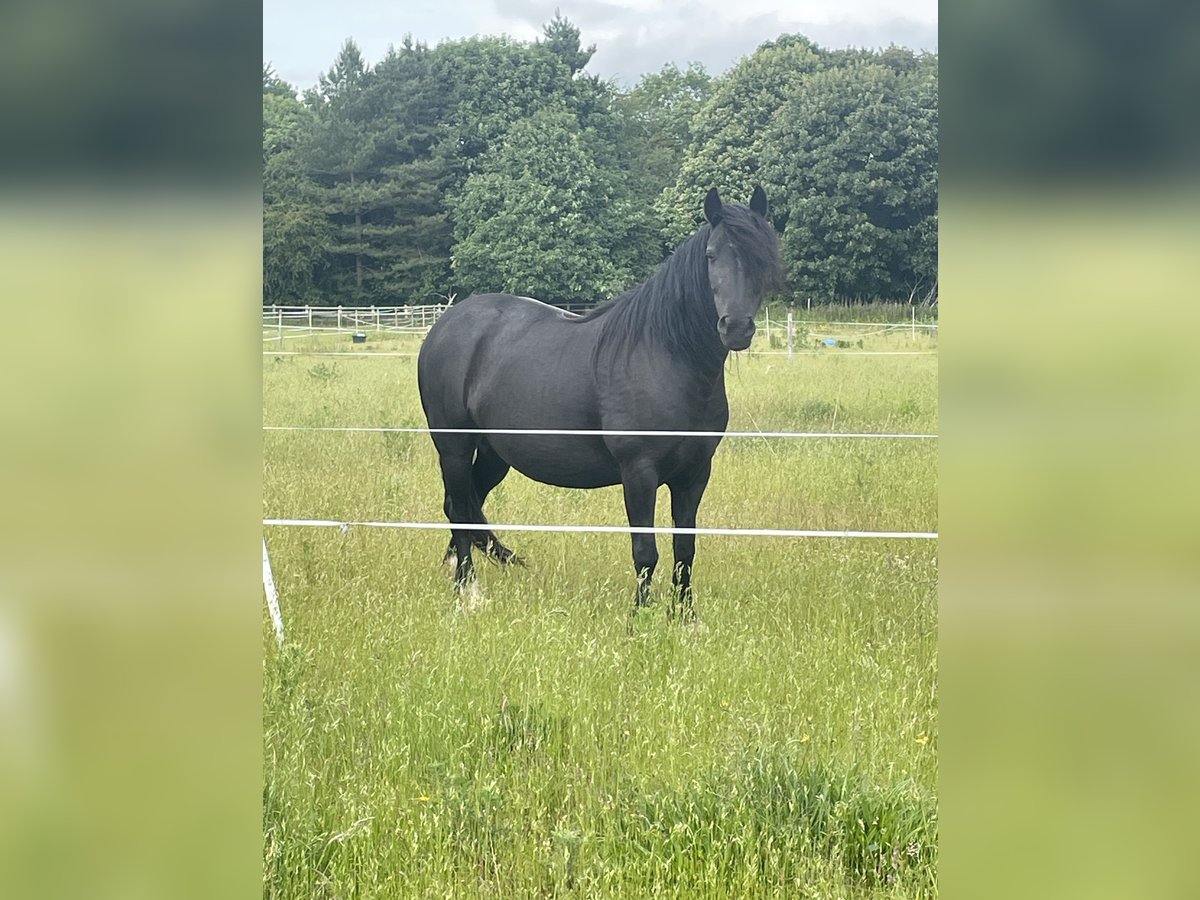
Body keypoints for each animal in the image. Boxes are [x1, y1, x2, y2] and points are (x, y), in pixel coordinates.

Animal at [417, 186, 783, 617]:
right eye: (711, 255)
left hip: (494, 454)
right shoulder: (639, 472)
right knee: (459, 508)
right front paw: (640, 618)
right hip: (454, 446)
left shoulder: (695, 473)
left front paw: (685, 617)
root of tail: (445, 324)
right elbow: (646, 551)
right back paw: (468, 592)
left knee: (465, 505)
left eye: (762, 256)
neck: (664, 356)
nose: (736, 327)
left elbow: (684, 548)